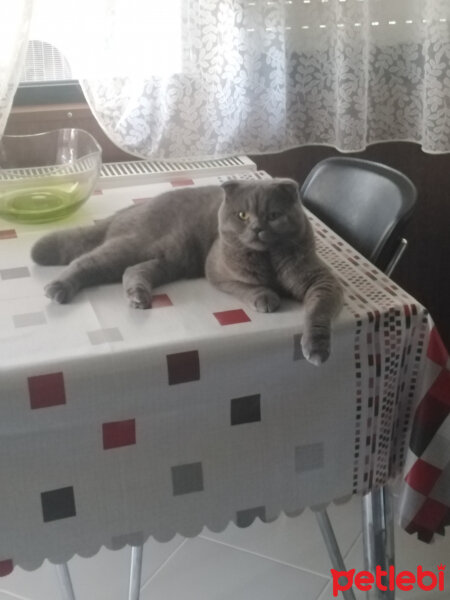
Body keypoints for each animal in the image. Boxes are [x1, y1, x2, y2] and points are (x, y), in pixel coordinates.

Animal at [30, 178, 342, 364]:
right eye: (242, 215)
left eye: (274, 215)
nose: (256, 228)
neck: (268, 260)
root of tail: (127, 210)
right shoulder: (217, 270)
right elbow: (248, 287)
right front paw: (266, 297)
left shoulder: (323, 281)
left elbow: (317, 310)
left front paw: (316, 348)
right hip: (142, 246)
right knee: (86, 262)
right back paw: (58, 288)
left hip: (171, 258)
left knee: (133, 270)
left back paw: (138, 297)